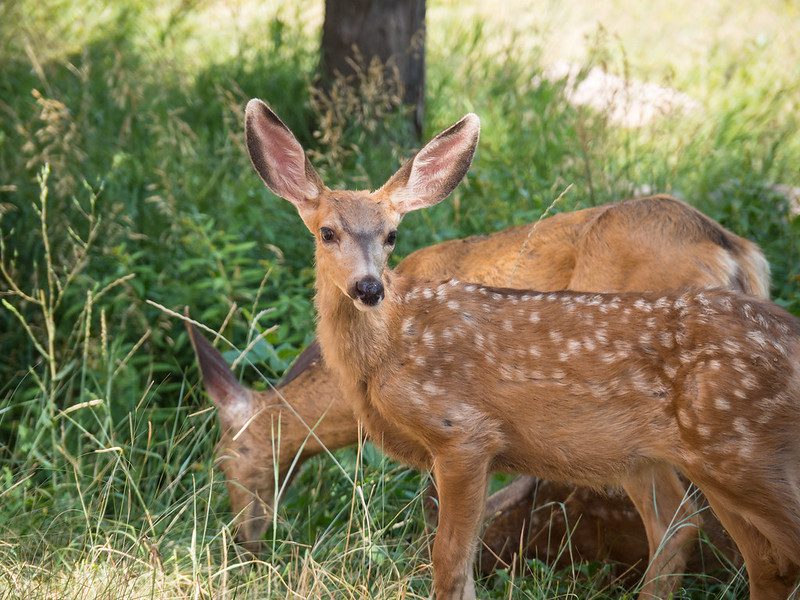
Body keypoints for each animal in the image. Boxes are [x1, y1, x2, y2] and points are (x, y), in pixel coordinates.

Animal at [248, 99, 800, 600]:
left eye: (391, 236)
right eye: (327, 232)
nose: (368, 287)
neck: (386, 355)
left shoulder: (464, 433)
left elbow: (449, 563)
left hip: (739, 454)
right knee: (751, 555)